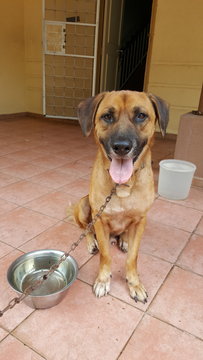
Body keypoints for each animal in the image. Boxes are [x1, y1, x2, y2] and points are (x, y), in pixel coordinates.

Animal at [72, 90, 168, 304]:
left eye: (141, 115)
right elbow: (105, 255)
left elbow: (133, 257)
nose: (121, 147)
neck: (122, 185)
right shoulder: (99, 220)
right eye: (107, 116)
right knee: (86, 229)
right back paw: (92, 242)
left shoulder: (141, 221)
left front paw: (134, 283)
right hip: (83, 204)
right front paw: (103, 280)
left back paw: (123, 240)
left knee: (123, 234)